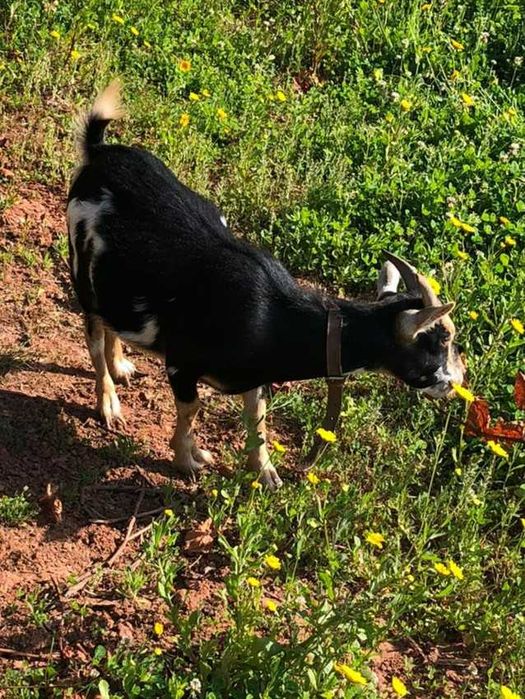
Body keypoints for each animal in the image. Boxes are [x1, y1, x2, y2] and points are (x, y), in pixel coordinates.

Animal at [67, 82, 465, 488]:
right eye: (440, 343)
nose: (456, 382)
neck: (273, 318)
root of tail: (100, 153)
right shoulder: (181, 364)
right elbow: (192, 409)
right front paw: (187, 460)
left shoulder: (255, 375)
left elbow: (256, 416)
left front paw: (265, 473)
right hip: (81, 265)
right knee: (93, 335)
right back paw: (109, 404)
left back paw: (121, 365)